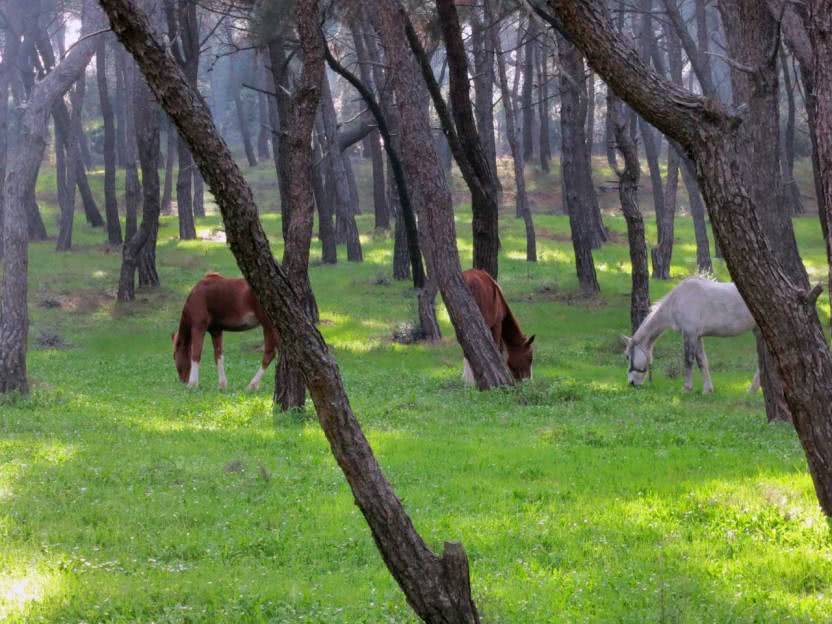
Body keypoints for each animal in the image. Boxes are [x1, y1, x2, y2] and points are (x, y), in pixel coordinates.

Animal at [624, 276, 760, 392]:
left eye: (627, 356)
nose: (631, 383)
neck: (678, 299)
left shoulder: (690, 334)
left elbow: (688, 360)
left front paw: (687, 388)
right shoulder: (697, 337)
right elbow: (702, 361)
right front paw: (707, 390)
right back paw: (752, 390)